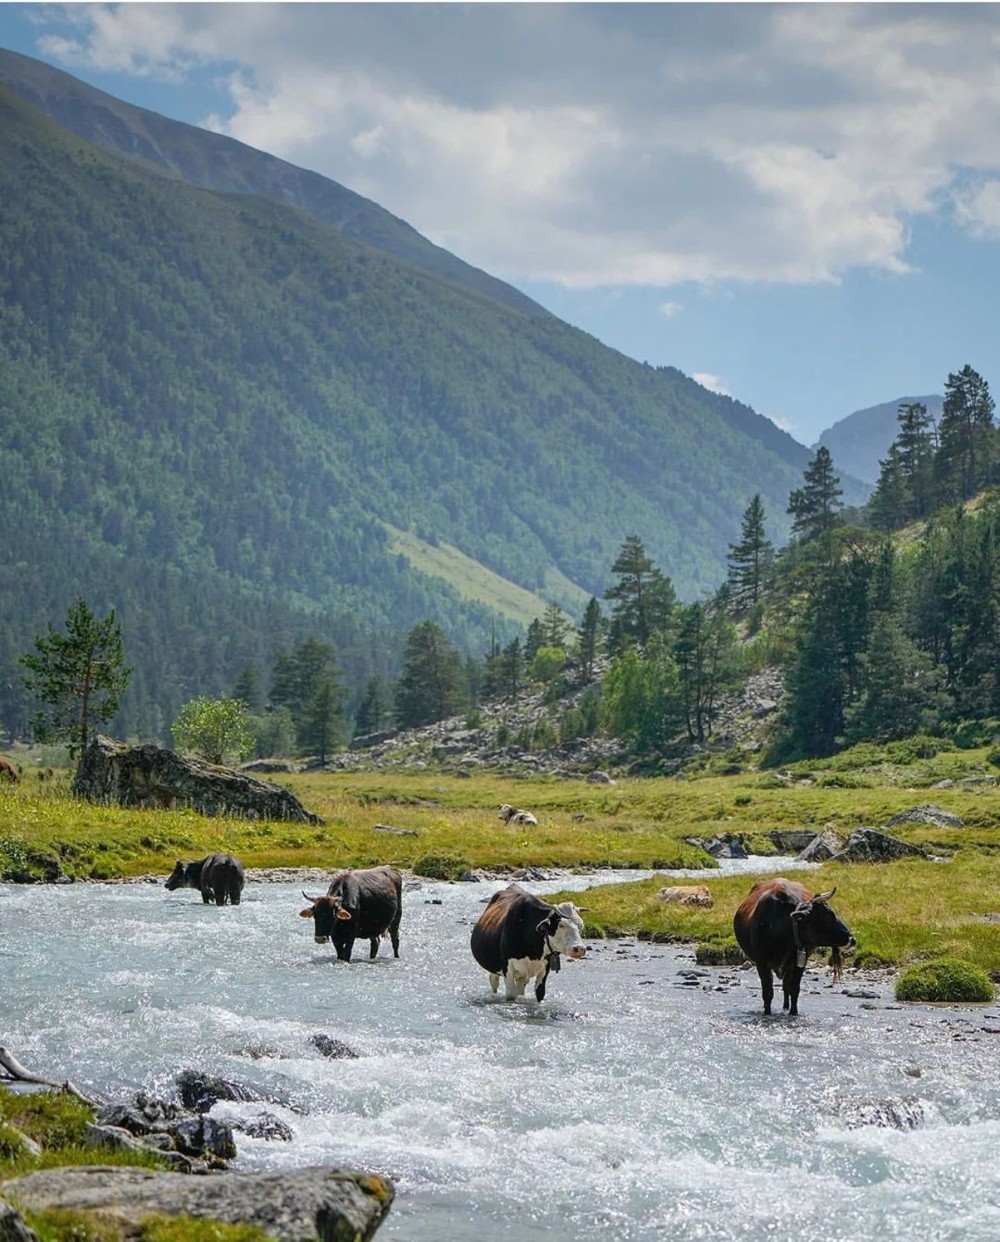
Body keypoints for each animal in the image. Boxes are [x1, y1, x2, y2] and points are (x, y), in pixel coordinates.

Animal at [730, 879, 854, 1013]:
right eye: (829, 915)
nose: (851, 937)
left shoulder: (800, 961)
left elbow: (794, 989)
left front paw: (793, 1012)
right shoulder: (761, 963)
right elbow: (767, 992)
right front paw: (767, 1012)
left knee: (786, 985)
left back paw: (786, 1007)